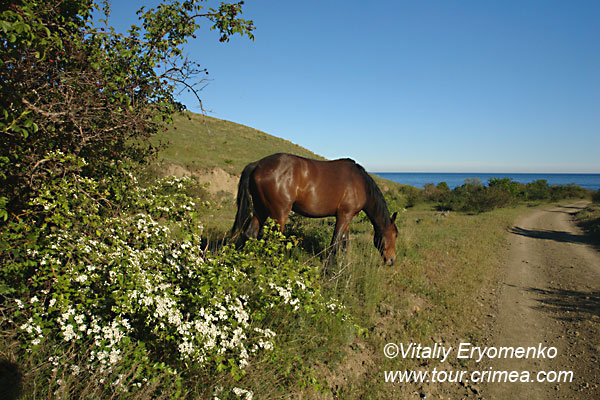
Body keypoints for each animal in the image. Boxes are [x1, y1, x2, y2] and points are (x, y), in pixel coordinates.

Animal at [231, 153, 398, 269]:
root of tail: (257, 165)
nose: (392, 260)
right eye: (395, 235)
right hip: (278, 214)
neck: (361, 184)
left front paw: (342, 266)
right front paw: (328, 270)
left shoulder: (348, 218)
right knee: (272, 240)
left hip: (261, 210)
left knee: (250, 234)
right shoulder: (343, 216)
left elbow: (344, 244)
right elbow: (335, 244)